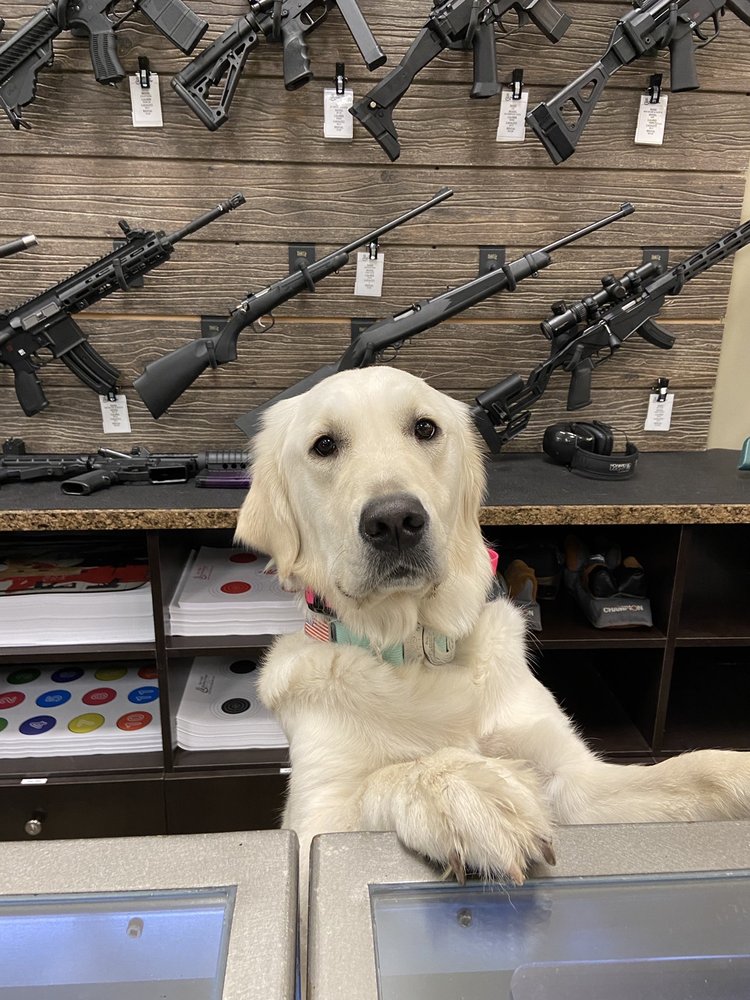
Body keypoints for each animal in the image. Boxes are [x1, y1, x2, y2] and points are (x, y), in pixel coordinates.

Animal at [235, 366, 750, 890]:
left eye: (425, 428)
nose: (396, 521)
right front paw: (462, 788)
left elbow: (692, 768)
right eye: (323, 445)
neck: (420, 646)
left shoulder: (578, 780)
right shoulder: (312, 821)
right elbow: (390, 775)